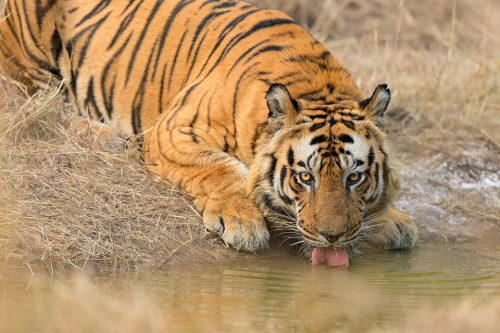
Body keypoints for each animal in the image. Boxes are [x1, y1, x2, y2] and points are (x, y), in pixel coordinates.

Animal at [0, 0, 416, 264]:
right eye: (305, 177)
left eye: (355, 177)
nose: (333, 237)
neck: (317, 83)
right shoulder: (173, 131)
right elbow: (221, 167)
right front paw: (243, 223)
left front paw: (393, 221)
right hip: (29, 59)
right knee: (38, 103)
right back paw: (103, 134)